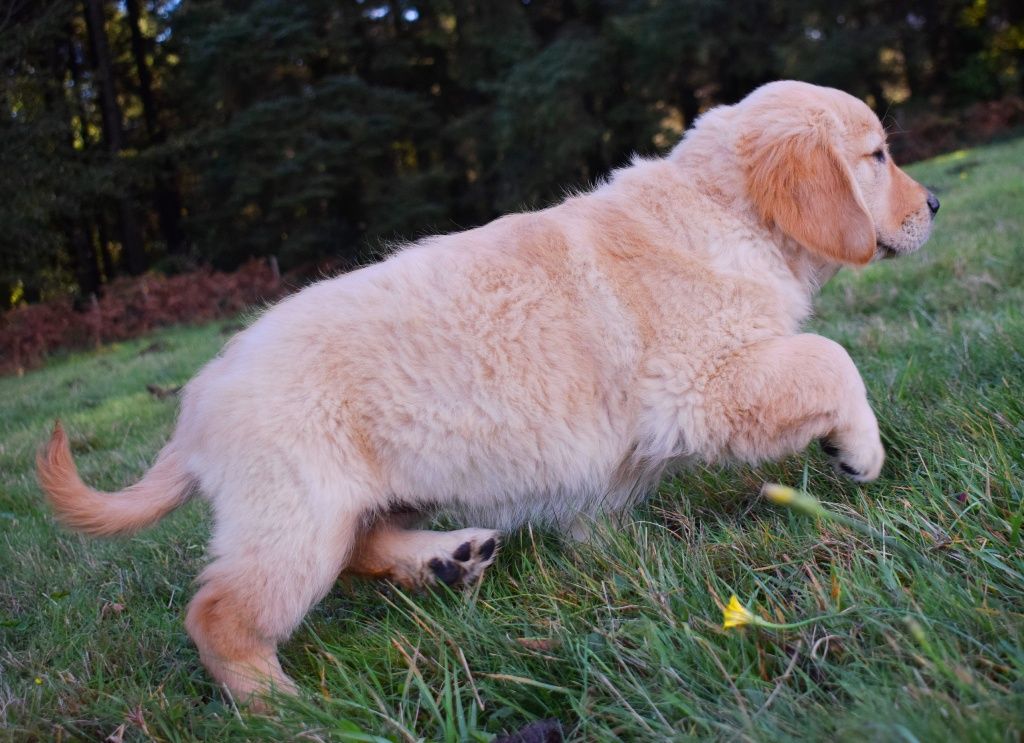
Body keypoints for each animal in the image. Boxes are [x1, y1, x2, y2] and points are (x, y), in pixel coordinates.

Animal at [38, 80, 938, 705]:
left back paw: (448, 559)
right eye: (877, 156)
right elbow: (830, 358)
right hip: (294, 513)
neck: (727, 212)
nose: (934, 201)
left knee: (363, 546)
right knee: (221, 611)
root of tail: (196, 401)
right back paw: (280, 704)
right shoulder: (706, 385)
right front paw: (858, 448)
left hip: (361, 492)